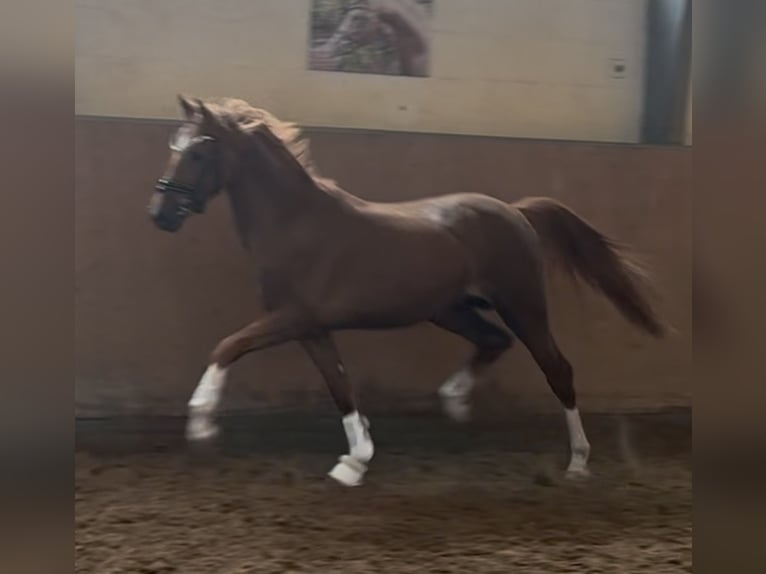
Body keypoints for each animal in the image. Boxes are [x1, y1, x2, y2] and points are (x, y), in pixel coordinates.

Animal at [148, 95, 667, 486]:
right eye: (174, 145)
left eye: (198, 152)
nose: (160, 213)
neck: (296, 224)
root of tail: (516, 212)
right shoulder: (310, 328)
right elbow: (340, 386)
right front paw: (354, 461)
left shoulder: (292, 318)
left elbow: (227, 346)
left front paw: (201, 422)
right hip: (451, 309)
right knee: (494, 341)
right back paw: (455, 402)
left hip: (522, 304)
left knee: (557, 368)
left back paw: (577, 461)